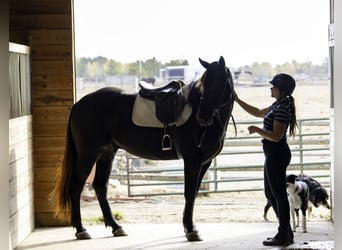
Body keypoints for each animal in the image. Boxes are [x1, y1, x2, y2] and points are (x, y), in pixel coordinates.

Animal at [51, 56, 235, 240]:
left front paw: (188, 227)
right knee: (76, 186)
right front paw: (191, 230)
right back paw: (81, 229)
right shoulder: (192, 160)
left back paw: (116, 227)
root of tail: (79, 104)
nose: (202, 117)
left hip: (106, 154)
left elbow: (194, 193)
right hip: (88, 155)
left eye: (220, 83)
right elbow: (189, 193)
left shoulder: (204, 162)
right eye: (205, 83)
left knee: (100, 187)